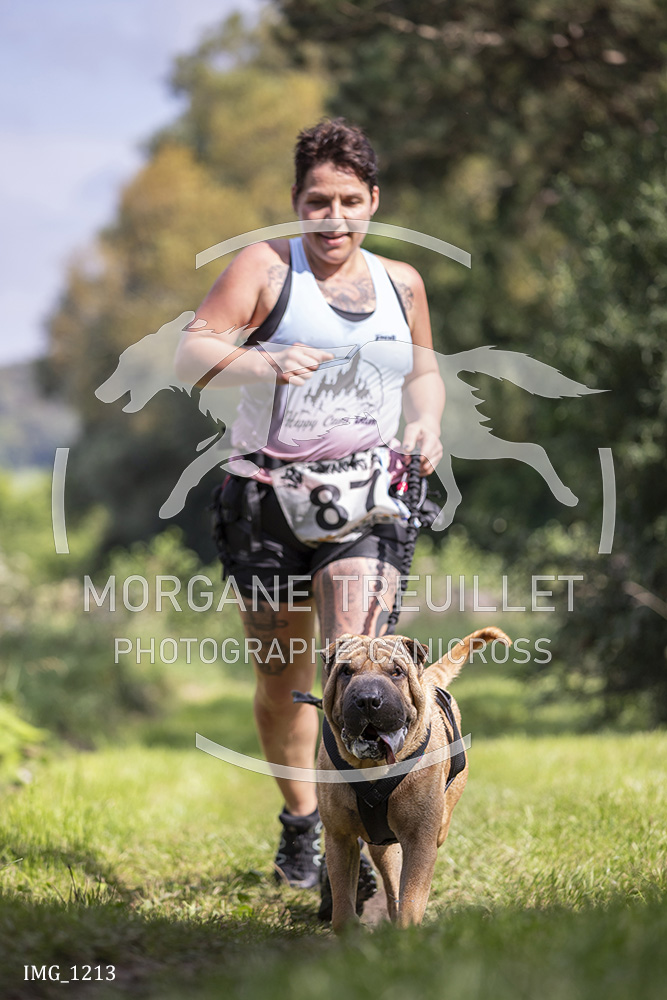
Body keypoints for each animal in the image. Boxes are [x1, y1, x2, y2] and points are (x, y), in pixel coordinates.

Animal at [317, 626, 511, 931]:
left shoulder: (420, 840)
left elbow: (411, 898)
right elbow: (343, 907)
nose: (368, 700)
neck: (373, 767)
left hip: (439, 824)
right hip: (381, 847)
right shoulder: (339, 837)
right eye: (346, 671)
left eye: (396, 672)